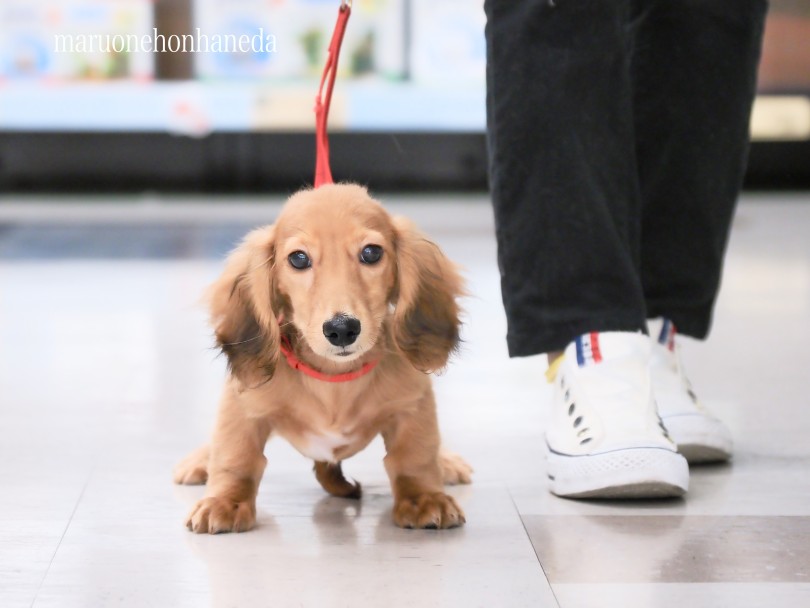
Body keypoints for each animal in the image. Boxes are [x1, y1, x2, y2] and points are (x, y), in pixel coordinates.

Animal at [174, 184, 470, 532]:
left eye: (371, 253)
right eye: (299, 258)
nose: (342, 329)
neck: (334, 378)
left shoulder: (412, 404)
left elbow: (416, 455)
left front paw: (424, 498)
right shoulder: (243, 406)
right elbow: (235, 456)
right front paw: (226, 501)